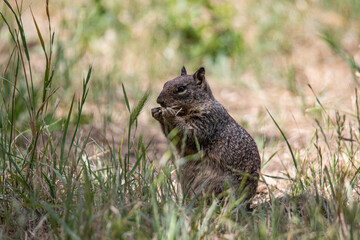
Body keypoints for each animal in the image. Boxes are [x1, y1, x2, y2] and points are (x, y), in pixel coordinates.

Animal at [150, 65, 260, 202]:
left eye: (181, 89)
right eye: (165, 83)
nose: (159, 101)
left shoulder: (207, 122)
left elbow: (191, 134)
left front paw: (170, 115)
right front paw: (157, 113)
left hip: (214, 184)